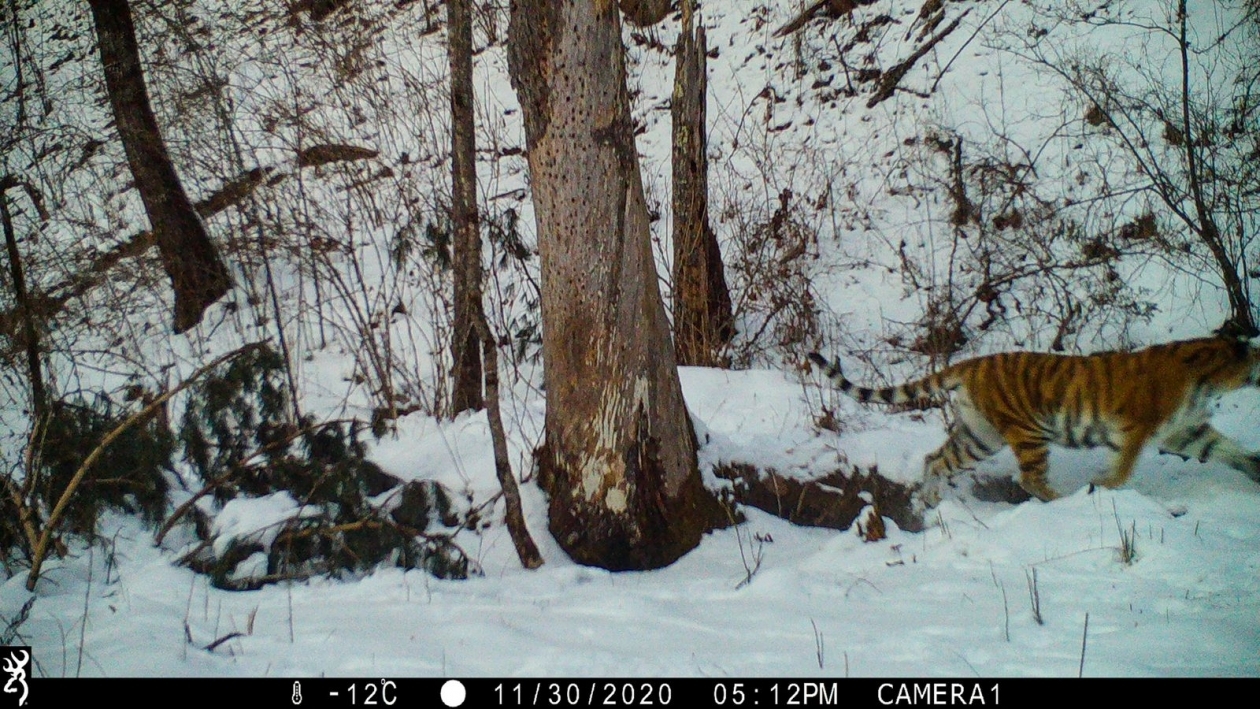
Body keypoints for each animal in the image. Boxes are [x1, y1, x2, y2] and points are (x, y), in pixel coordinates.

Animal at [806, 337, 1260, 503]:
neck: (1207, 379)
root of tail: (973, 363)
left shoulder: (1187, 430)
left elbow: (1226, 449)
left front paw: (1255, 469)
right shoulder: (1136, 427)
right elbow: (1123, 469)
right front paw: (1102, 485)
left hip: (980, 436)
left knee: (936, 459)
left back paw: (929, 502)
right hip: (1028, 432)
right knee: (1029, 478)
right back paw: (1061, 501)